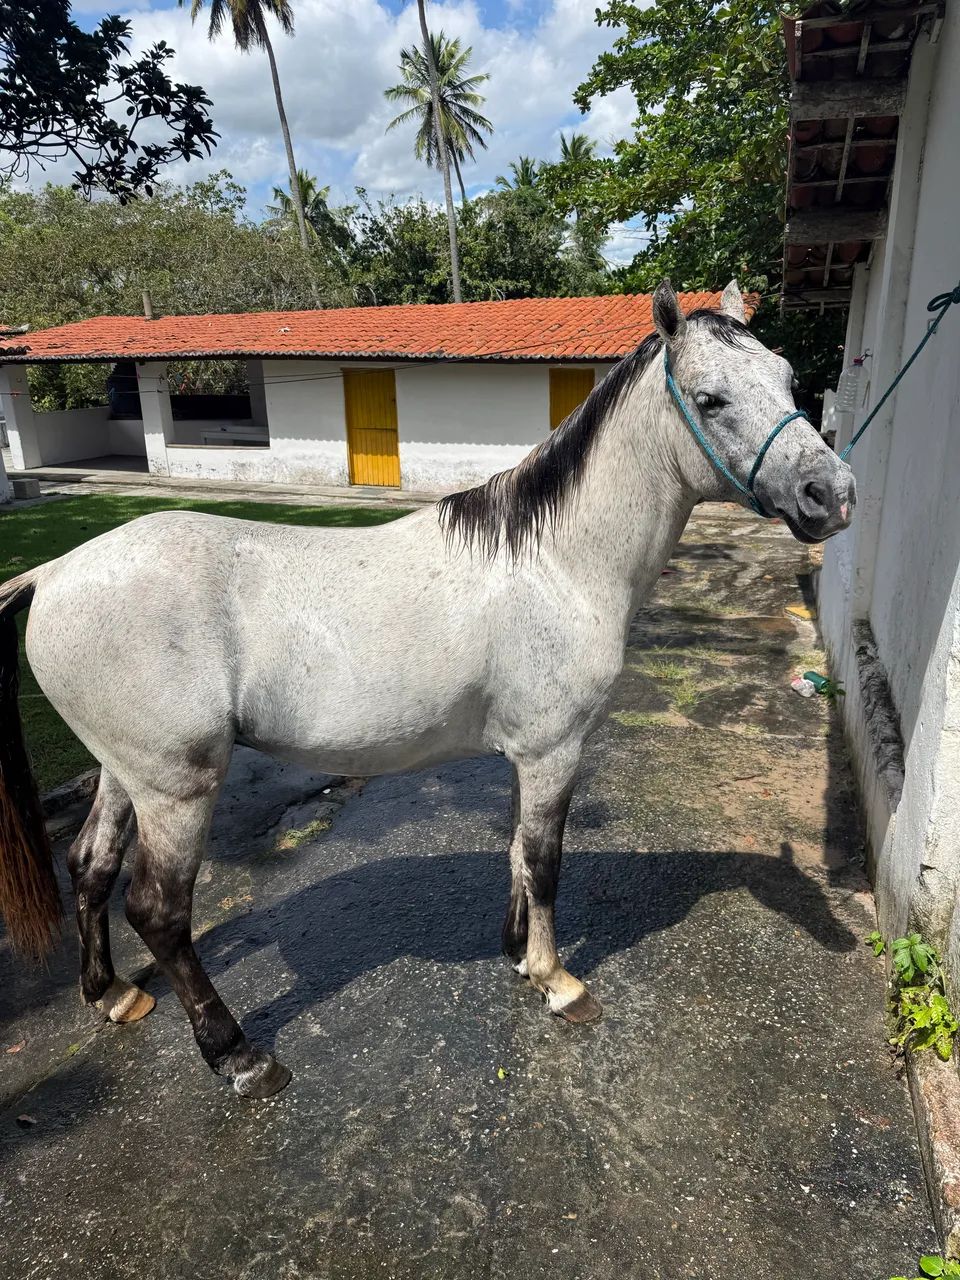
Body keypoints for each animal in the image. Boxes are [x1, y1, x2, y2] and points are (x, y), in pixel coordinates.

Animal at [0, 280, 855, 1098]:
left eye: (787, 379)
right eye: (710, 399)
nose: (832, 493)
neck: (554, 562)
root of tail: (53, 574)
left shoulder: (528, 755)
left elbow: (517, 852)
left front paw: (518, 954)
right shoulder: (555, 750)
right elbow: (545, 860)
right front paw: (557, 981)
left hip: (125, 774)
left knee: (90, 866)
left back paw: (113, 996)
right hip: (176, 789)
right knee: (159, 912)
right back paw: (239, 1058)